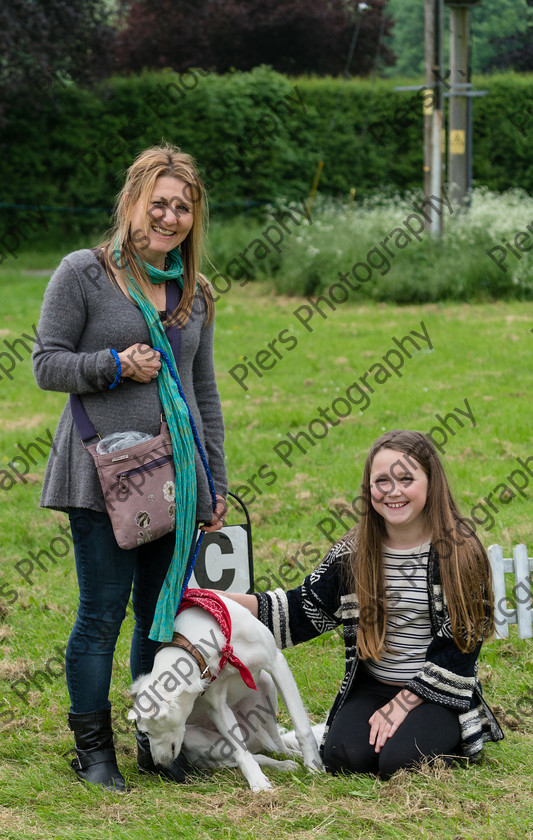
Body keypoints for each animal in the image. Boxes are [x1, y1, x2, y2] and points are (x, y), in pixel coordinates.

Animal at [128, 592, 324, 788]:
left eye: (145, 731)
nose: (158, 765)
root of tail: (255, 738)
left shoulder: (277, 664)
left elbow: (302, 727)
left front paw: (314, 767)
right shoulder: (217, 706)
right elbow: (241, 753)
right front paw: (257, 782)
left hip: (268, 686)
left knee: (276, 744)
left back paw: (291, 757)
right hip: (205, 742)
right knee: (249, 755)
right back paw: (282, 765)